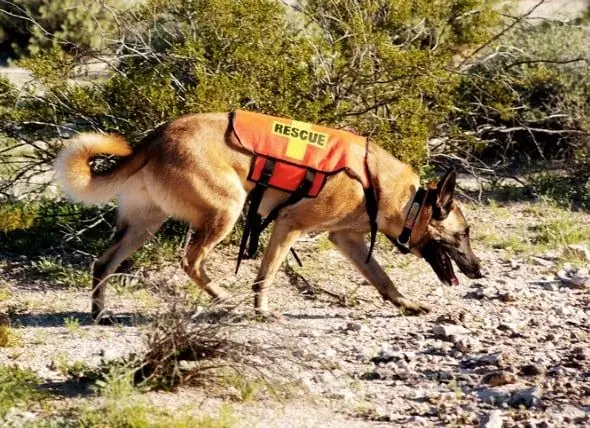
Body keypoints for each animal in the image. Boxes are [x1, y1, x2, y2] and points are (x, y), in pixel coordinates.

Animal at [53, 112, 484, 322]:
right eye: (462, 234)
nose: (479, 271)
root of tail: (156, 137)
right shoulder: (288, 226)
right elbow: (265, 276)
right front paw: (261, 311)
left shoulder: (347, 241)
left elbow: (383, 280)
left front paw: (406, 305)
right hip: (226, 210)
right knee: (191, 261)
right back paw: (224, 299)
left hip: (142, 225)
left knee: (103, 263)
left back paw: (100, 313)